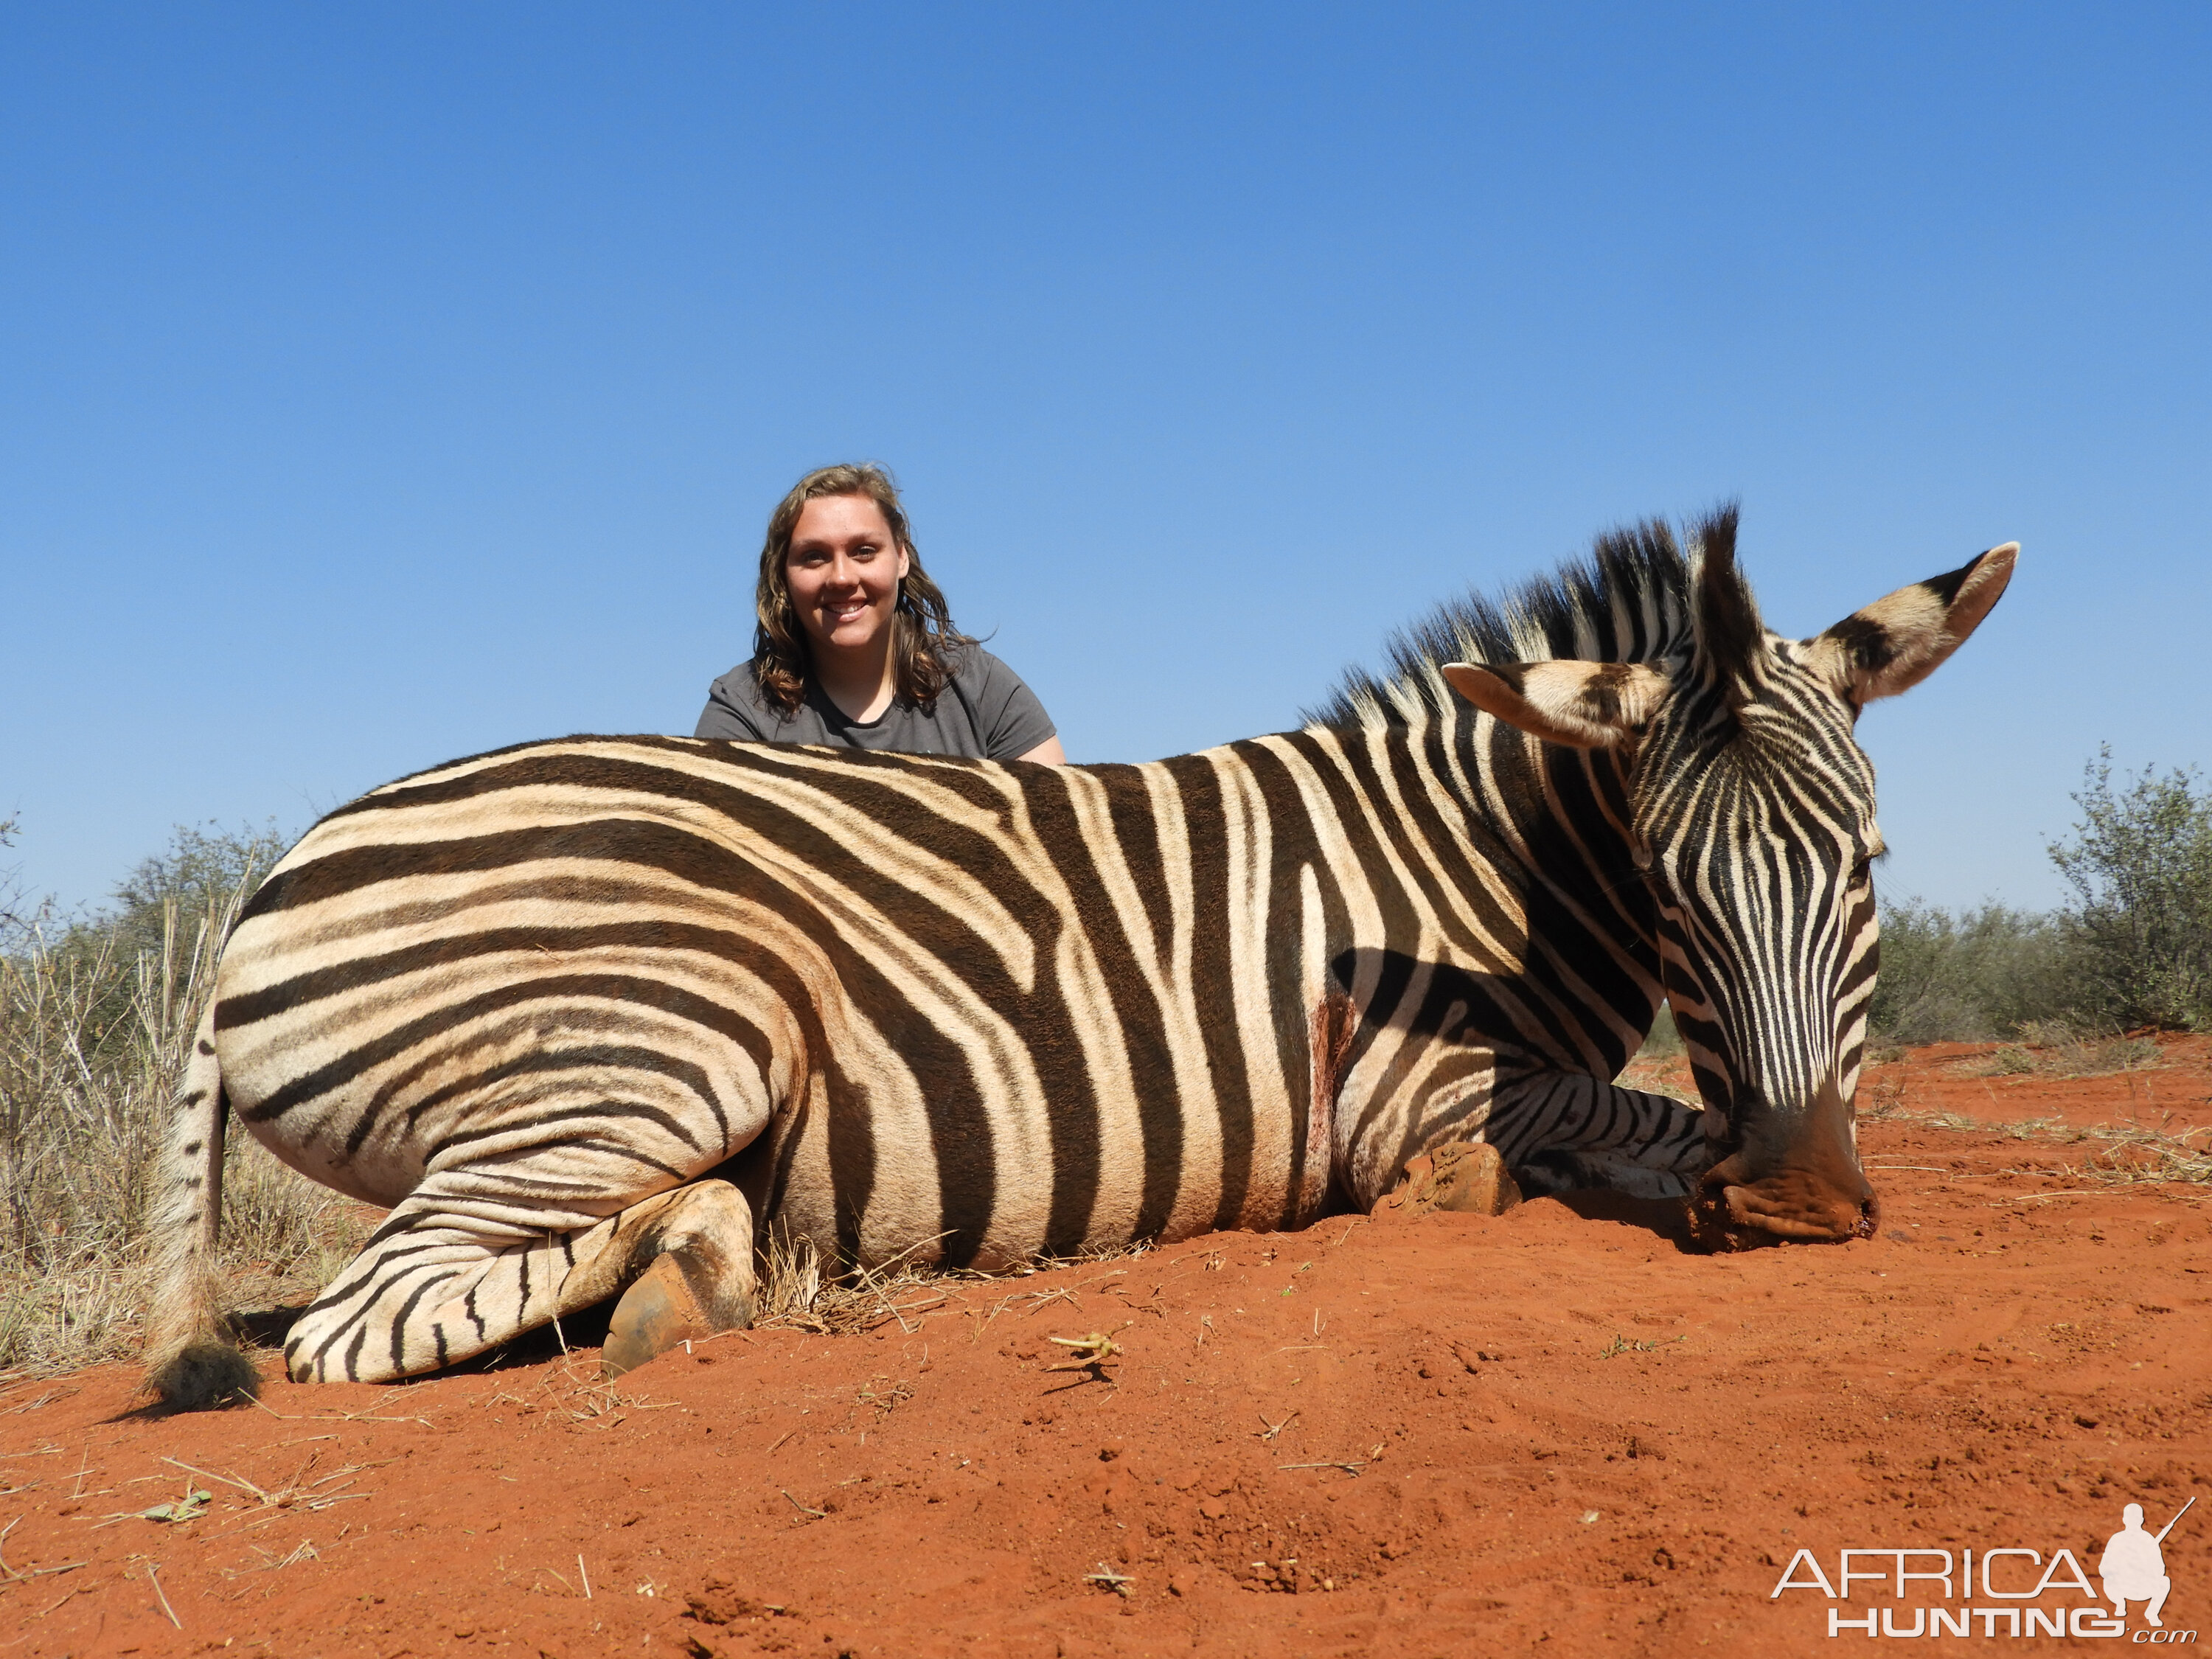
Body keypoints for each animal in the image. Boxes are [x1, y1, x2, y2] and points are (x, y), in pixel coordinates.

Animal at [142, 504, 2026, 1407]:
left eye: (1867, 870)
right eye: (1668, 886)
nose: (1803, 1201)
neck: (1466, 859)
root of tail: (265, 883)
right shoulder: (1405, 1095)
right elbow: (1628, 1129)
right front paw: (1555, 1189)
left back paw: (703, 1247)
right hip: (687, 1034)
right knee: (362, 1320)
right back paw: (685, 1271)